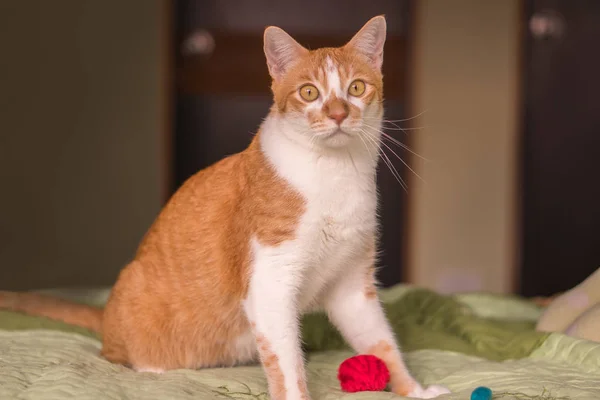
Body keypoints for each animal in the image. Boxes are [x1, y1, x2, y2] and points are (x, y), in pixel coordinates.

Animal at [0, 15, 450, 400]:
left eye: (356, 88)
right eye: (309, 92)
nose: (338, 113)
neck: (333, 176)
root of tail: (105, 314)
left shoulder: (351, 288)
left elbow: (383, 343)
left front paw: (414, 390)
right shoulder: (270, 282)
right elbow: (288, 363)